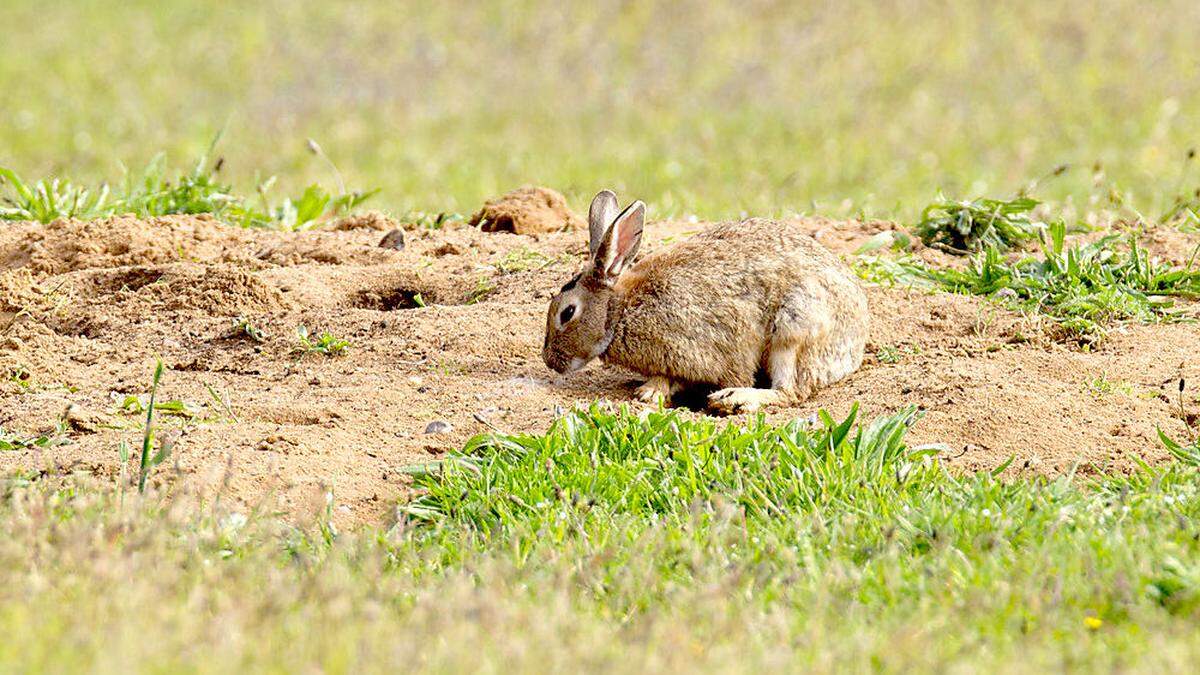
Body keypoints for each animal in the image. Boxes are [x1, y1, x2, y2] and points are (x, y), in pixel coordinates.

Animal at [547, 186, 873, 413]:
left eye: (567, 312)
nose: (550, 362)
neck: (620, 311)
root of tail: (855, 345)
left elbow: (735, 370)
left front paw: (652, 392)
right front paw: (652, 390)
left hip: (795, 326)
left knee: (791, 391)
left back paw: (734, 400)